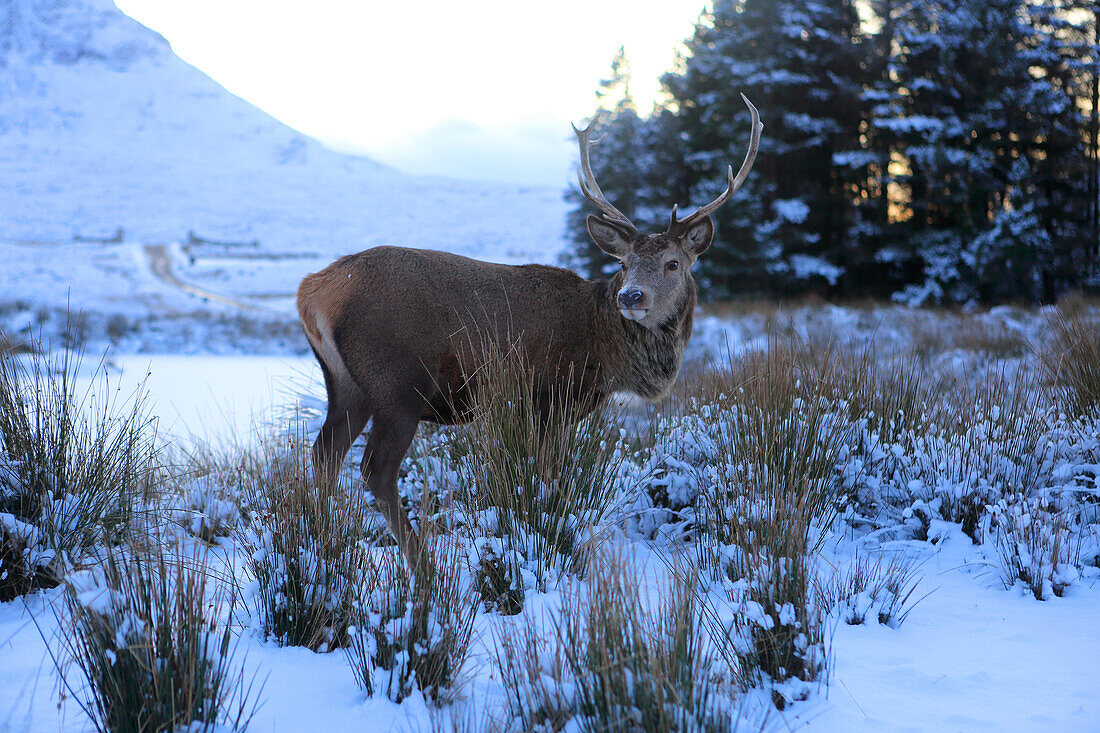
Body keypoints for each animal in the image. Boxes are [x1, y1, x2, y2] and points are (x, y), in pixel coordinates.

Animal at [297, 93, 761, 559]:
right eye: (624, 264)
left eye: (672, 263)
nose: (631, 297)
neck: (603, 350)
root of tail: (313, 291)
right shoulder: (546, 397)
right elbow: (547, 476)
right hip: (398, 383)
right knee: (375, 469)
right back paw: (420, 560)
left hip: (347, 385)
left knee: (323, 455)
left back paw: (321, 542)